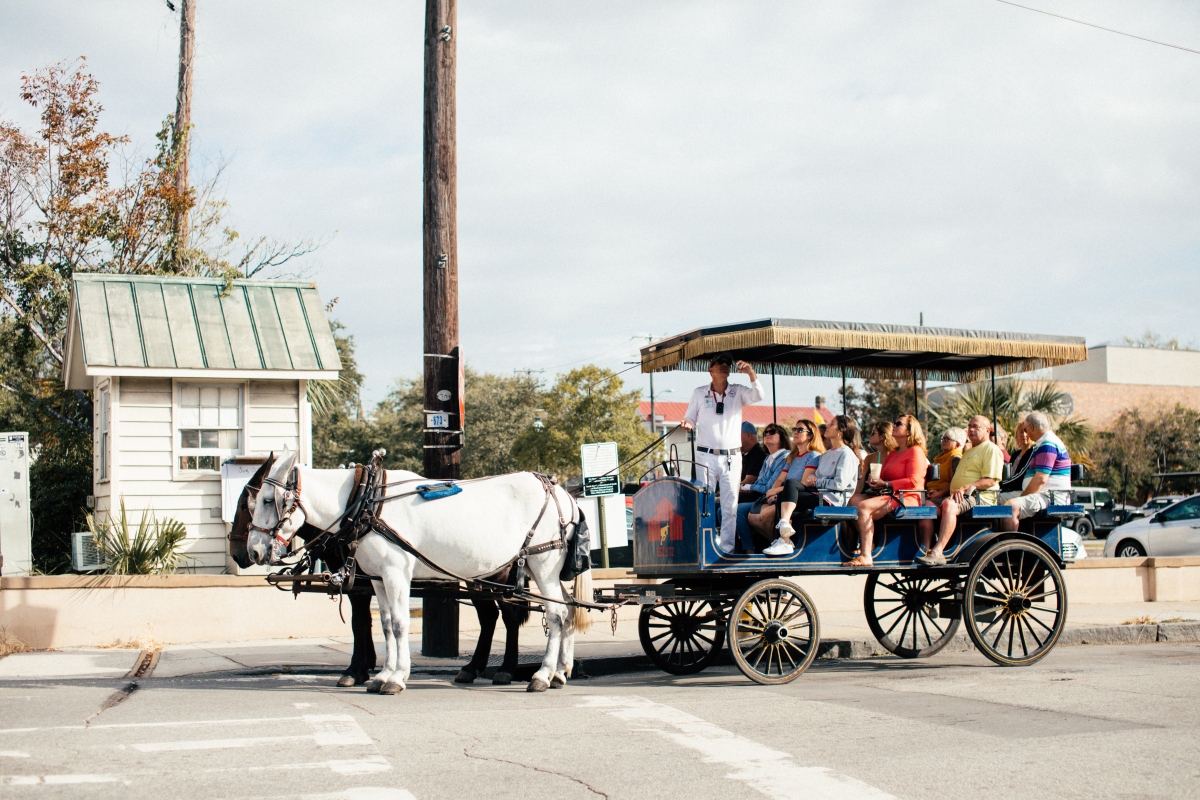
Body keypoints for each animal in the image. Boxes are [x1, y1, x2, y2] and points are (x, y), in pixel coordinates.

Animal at [244, 455, 585, 695]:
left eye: (266, 500)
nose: (253, 552)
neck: (365, 503)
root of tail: (563, 494)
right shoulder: (378, 578)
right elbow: (384, 625)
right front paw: (382, 675)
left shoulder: (396, 573)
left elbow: (398, 624)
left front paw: (395, 678)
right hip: (539, 572)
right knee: (567, 609)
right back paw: (559, 672)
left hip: (541, 564)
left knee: (553, 615)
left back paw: (541, 675)